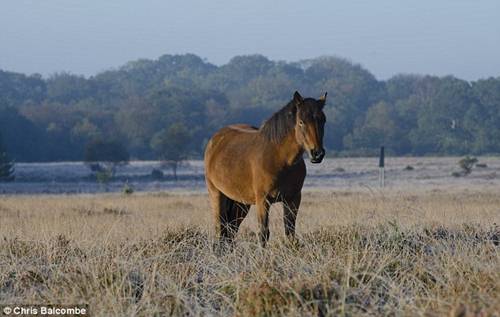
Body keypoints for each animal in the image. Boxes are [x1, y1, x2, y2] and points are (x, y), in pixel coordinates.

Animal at [204, 90, 328, 247]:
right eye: (301, 122)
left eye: (323, 120)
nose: (317, 153)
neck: (280, 159)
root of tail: (215, 140)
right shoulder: (263, 200)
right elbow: (263, 233)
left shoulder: (293, 199)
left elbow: (290, 233)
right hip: (216, 194)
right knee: (220, 230)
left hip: (241, 203)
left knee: (231, 230)